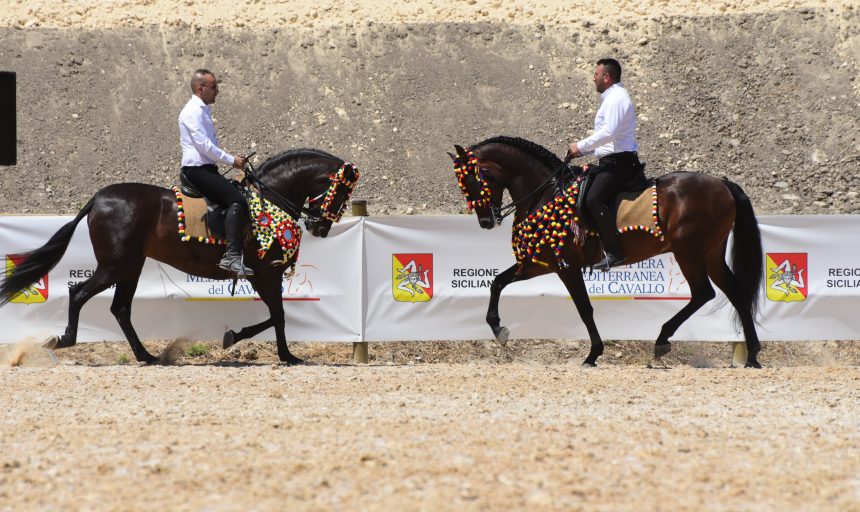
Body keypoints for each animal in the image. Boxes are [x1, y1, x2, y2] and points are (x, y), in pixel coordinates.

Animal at [0, 148, 358, 364]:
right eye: (341, 191)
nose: (322, 228)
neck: (268, 200)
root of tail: (99, 198)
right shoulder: (265, 274)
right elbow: (279, 315)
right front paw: (282, 354)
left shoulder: (263, 277)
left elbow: (275, 316)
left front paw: (249, 341)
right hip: (116, 265)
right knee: (79, 293)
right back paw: (63, 340)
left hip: (131, 267)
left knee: (120, 309)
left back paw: (146, 355)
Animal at [454, 136, 764, 368]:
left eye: (473, 179)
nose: (486, 221)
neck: (547, 194)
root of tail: (722, 183)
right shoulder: (538, 263)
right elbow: (497, 282)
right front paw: (498, 329)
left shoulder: (566, 267)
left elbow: (584, 308)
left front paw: (593, 354)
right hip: (710, 254)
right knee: (734, 291)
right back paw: (751, 355)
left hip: (689, 252)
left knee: (704, 293)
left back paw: (662, 340)